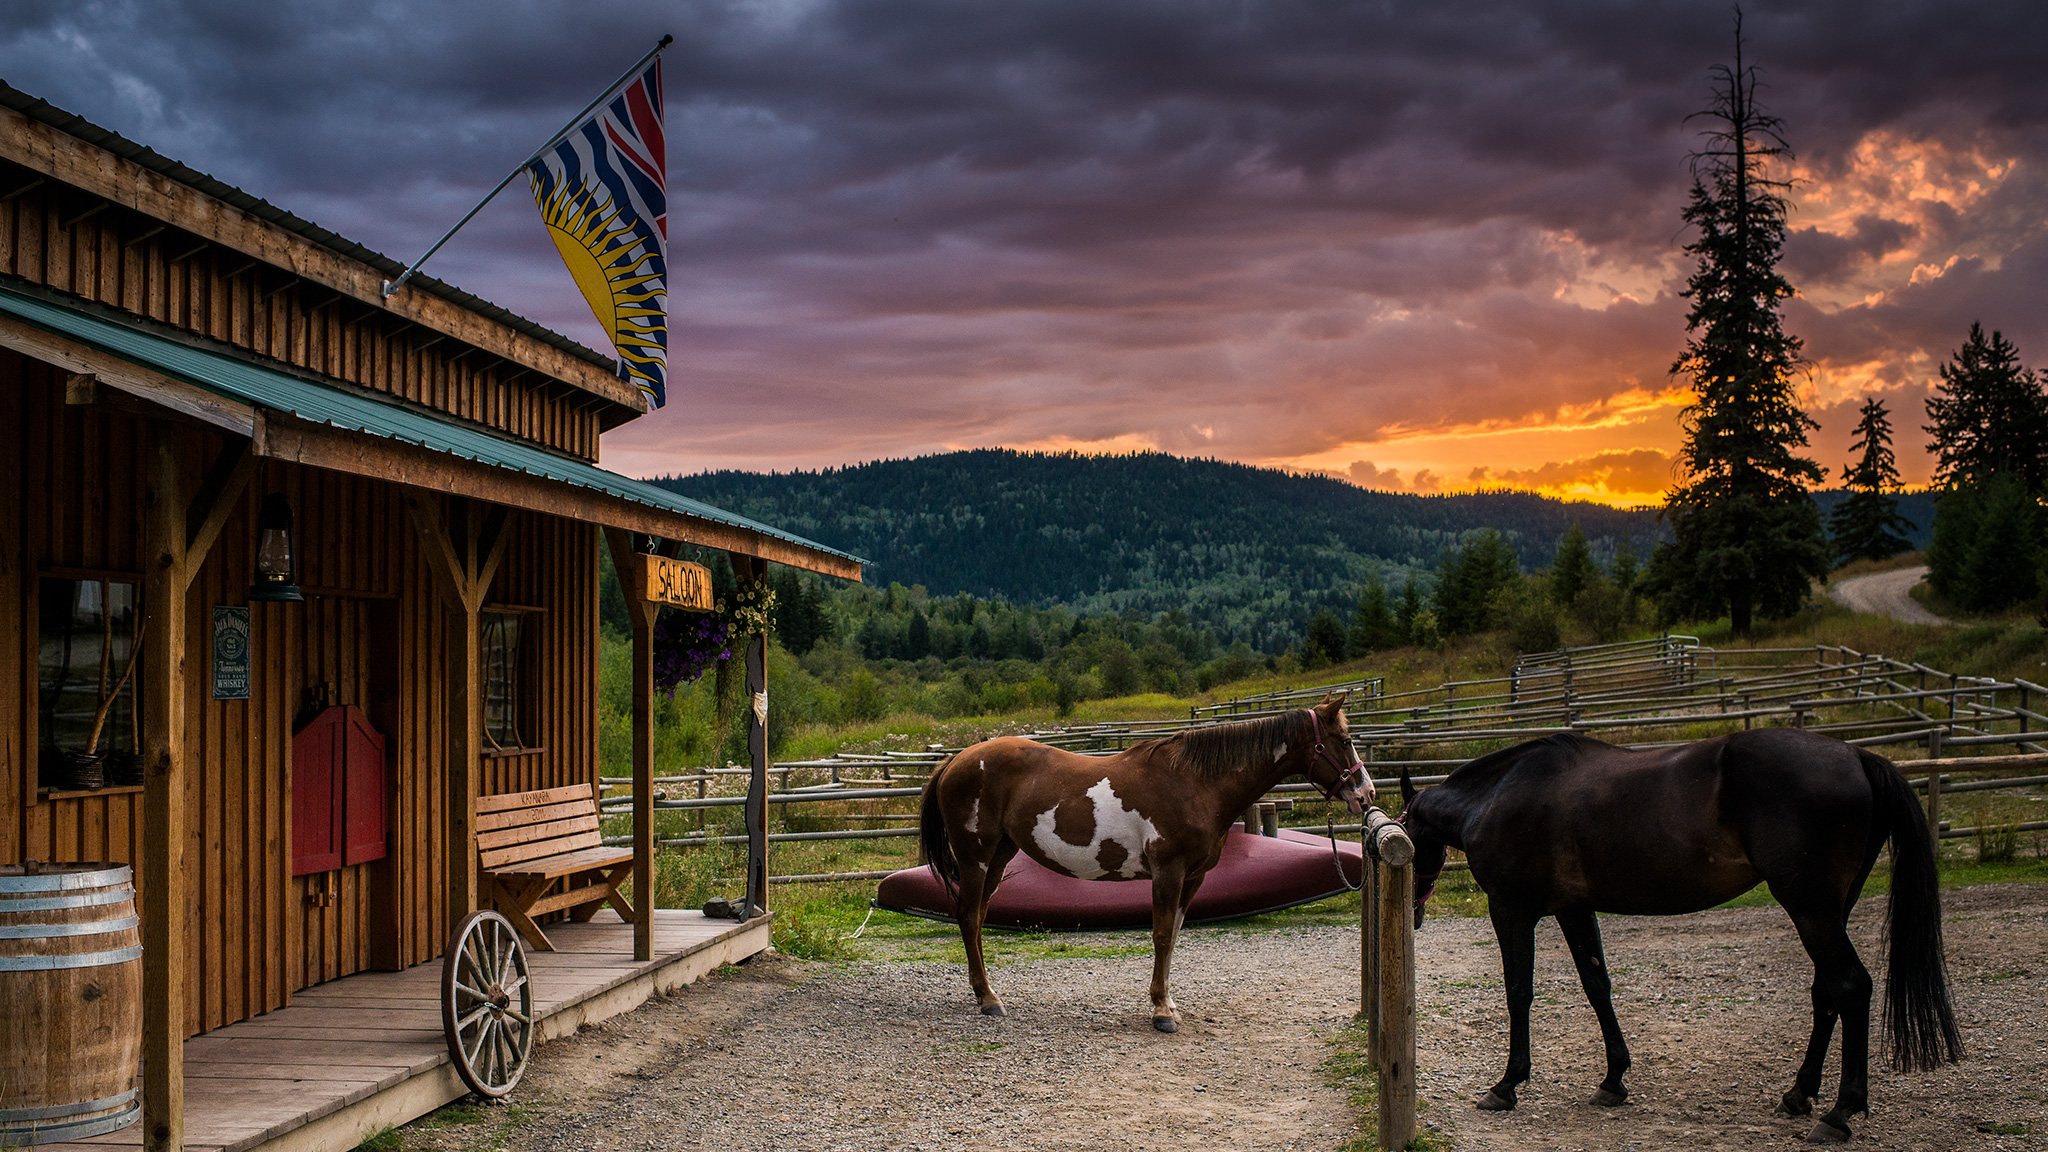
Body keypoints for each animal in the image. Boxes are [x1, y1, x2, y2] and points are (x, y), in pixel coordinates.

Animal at [917, 688, 1368, 1033]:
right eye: (1345, 740)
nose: (1366, 794)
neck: (1195, 783)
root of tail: (955, 760)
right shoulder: (1168, 872)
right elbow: (1162, 935)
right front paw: (1161, 1011)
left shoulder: (1193, 878)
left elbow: (1176, 935)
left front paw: (1169, 1003)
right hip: (975, 857)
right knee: (968, 916)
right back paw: (987, 999)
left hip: (999, 856)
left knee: (977, 917)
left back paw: (987, 993)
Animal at [1400, 725, 1957, 1139]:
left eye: (1398, 835)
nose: (1413, 914)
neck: (1497, 796)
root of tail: (1859, 756)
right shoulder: (1574, 910)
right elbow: (1597, 986)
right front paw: (1613, 1079)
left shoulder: (1511, 909)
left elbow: (1518, 992)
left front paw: (1507, 1084)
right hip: (1828, 910)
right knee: (1827, 992)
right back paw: (1799, 1094)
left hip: (1810, 907)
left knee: (1851, 986)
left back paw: (1839, 1114)